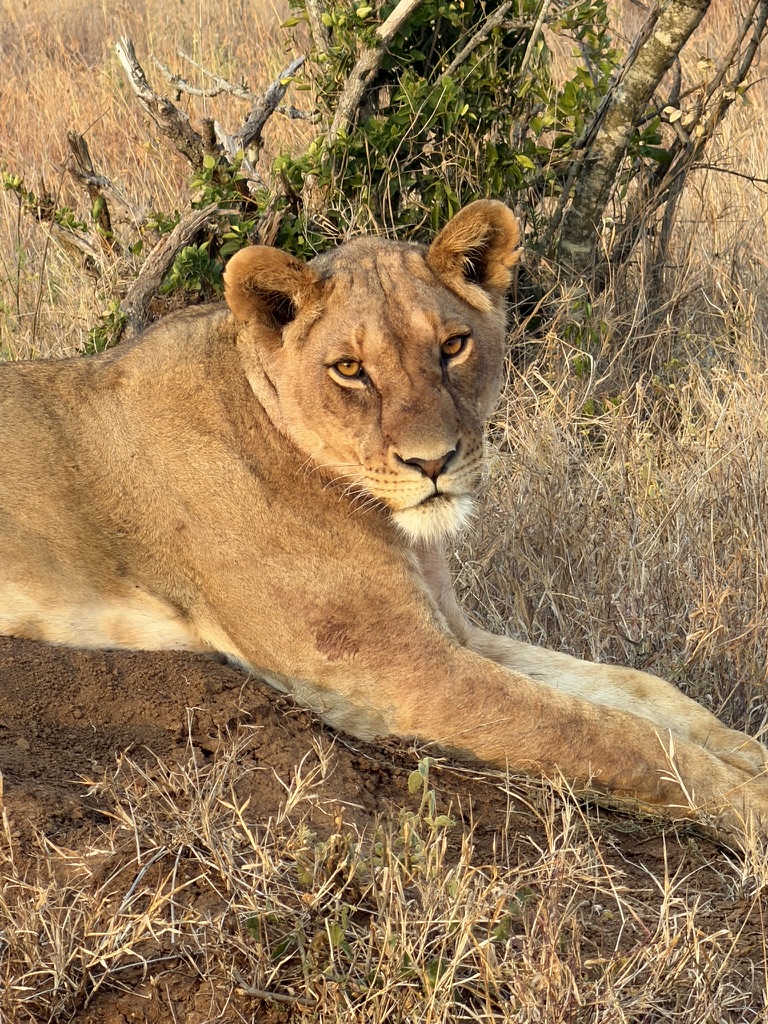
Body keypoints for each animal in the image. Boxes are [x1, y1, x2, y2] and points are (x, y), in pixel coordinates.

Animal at [1, 200, 767, 835]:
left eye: (453, 346)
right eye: (349, 369)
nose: (433, 462)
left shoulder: (453, 632)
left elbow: (644, 692)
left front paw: (750, 754)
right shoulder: (398, 671)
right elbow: (615, 735)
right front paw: (751, 807)